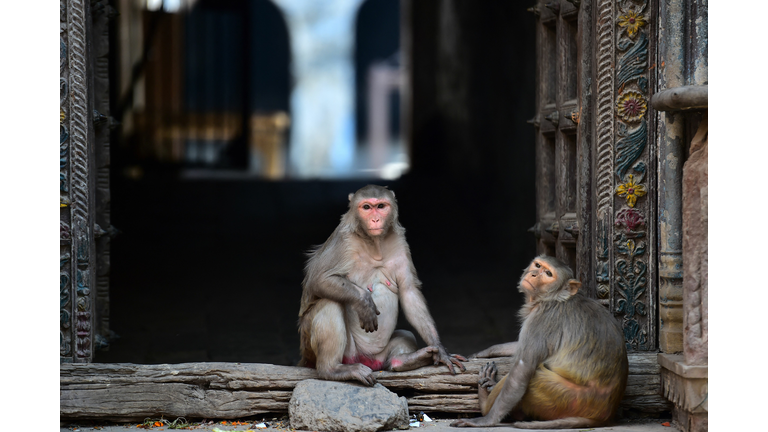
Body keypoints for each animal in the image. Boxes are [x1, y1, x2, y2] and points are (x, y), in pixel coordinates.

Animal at [297, 184, 466, 386]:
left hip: (377, 356)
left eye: (380, 206)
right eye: (366, 207)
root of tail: (366, 360)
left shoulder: (400, 243)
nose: (375, 219)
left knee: (404, 336)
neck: (374, 243)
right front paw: (364, 302)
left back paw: (405, 360)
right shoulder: (344, 241)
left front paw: (440, 350)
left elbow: (409, 293)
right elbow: (319, 280)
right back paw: (332, 370)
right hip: (325, 350)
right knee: (328, 302)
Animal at [452, 255, 628, 429]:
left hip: (565, 398)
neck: (553, 298)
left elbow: (523, 367)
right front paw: (483, 352)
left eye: (548, 274)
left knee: (535, 375)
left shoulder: (543, 318)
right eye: (537, 265)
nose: (534, 274)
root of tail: (605, 413)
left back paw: (485, 403)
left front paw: (487, 420)